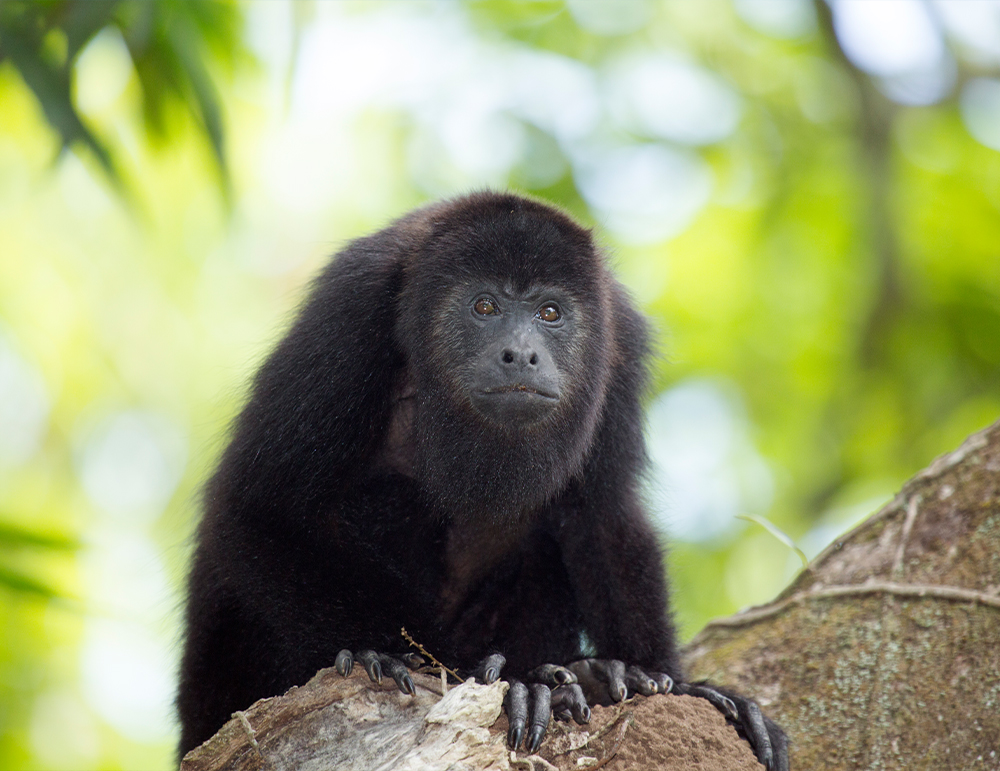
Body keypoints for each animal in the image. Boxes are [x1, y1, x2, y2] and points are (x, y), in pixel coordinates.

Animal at [176, 191, 788, 769]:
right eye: (485, 305)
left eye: (549, 312)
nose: (521, 353)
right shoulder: (348, 308)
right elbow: (262, 503)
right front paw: (403, 657)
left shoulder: (620, 342)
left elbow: (602, 513)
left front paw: (660, 679)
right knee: (388, 496)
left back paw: (582, 676)